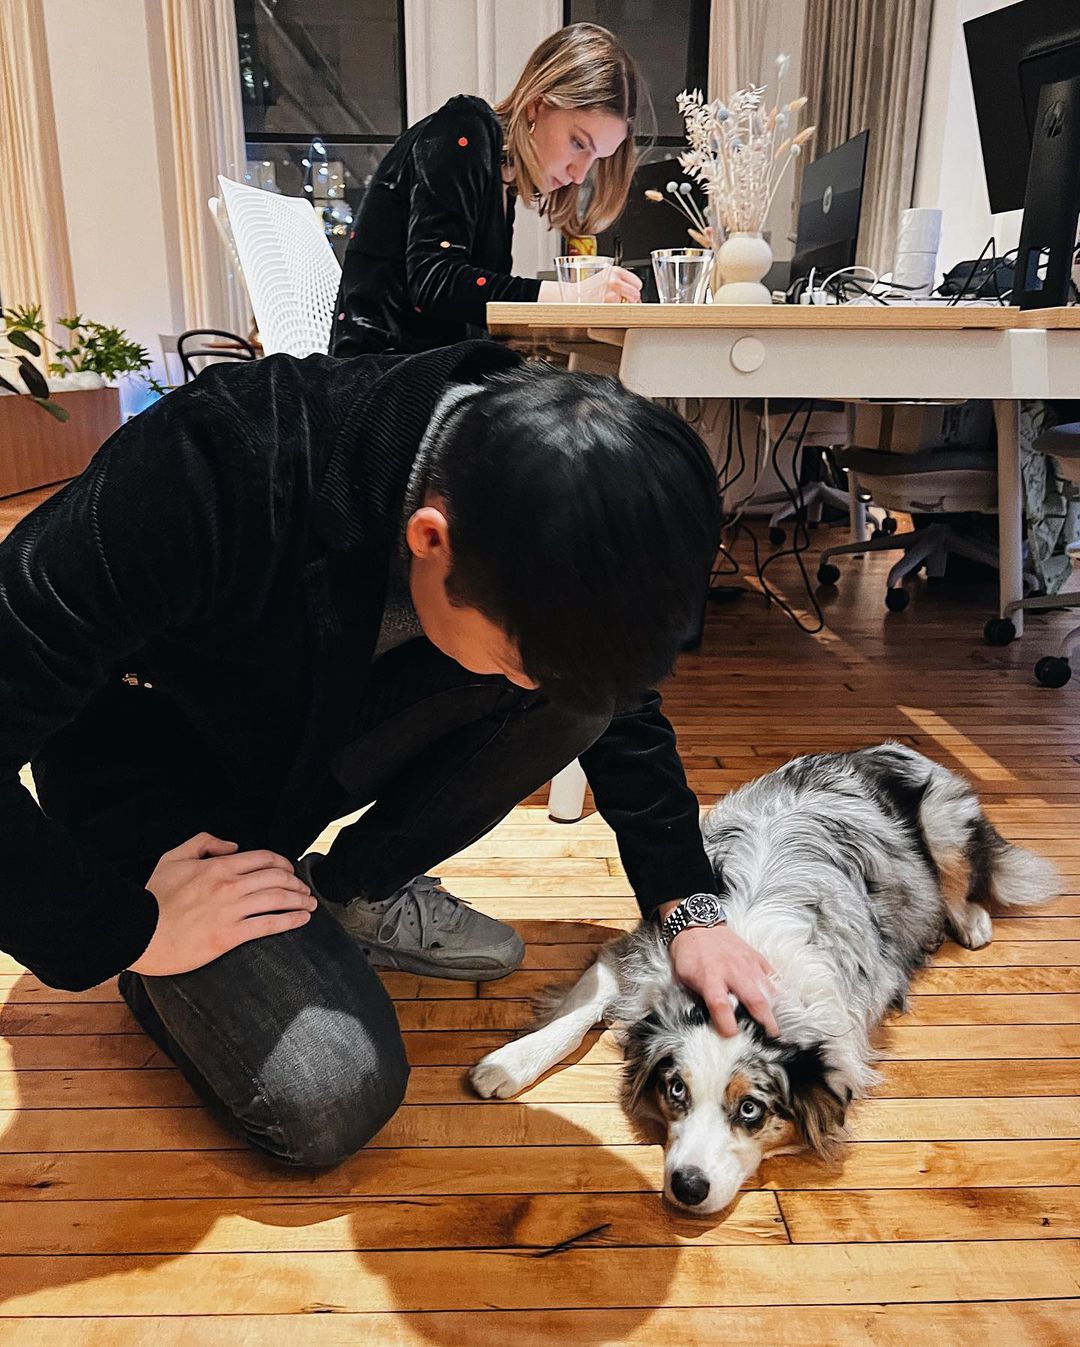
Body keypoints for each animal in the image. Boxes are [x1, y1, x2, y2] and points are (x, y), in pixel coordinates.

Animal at [470, 743, 1060, 1214]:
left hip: (943, 824)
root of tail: (887, 748)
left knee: (965, 880)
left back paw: (970, 921)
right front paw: (509, 1063)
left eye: (751, 1110)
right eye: (676, 1090)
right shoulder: (637, 953)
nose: (687, 1188)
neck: (736, 977)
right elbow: (576, 1015)